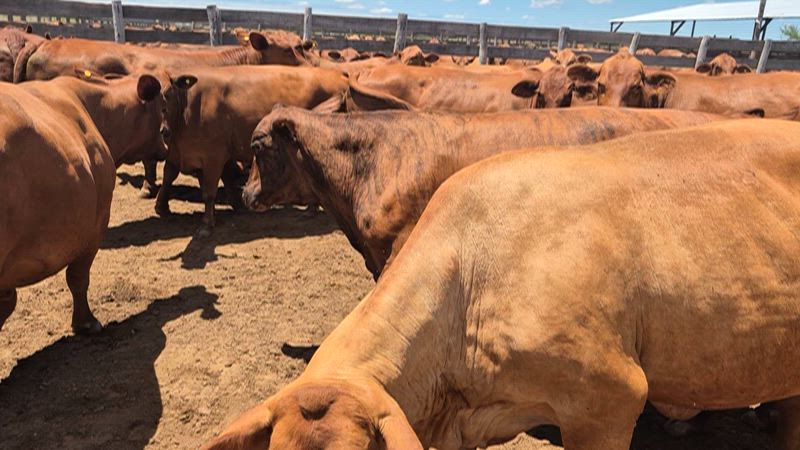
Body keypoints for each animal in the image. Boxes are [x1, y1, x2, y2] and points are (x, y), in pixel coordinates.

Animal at [155, 65, 350, 236]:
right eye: (153, 96)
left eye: (168, 93)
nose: (163, 131)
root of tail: (338, 74)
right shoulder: (180, 153)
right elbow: (168, 175)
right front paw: (161, 206)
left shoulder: (213, 156)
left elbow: (209, 192)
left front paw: (206, 225)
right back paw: (311, 209)